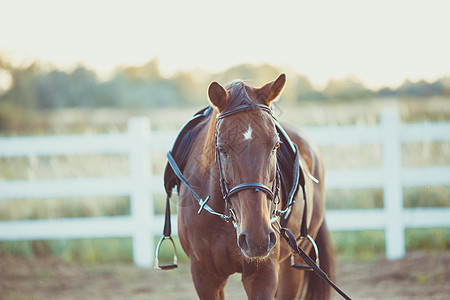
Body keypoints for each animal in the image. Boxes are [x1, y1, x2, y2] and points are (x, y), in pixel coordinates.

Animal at [169, 74, 334, 298]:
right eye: (222, 149)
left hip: (296, 261)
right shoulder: (205, 278)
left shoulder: (262, 275)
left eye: (275, 145)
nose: (258, 239)